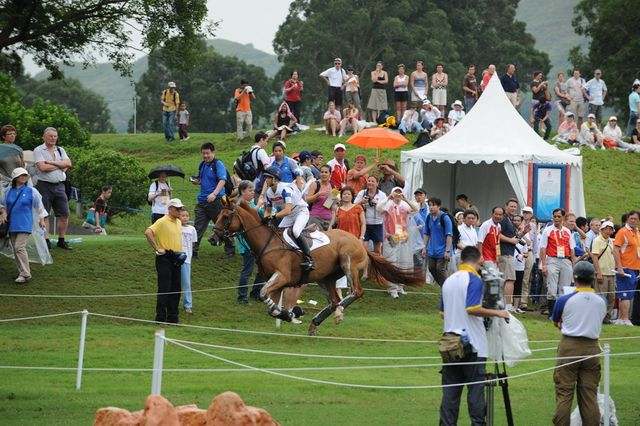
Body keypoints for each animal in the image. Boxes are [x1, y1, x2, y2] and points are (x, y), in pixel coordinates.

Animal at [212, 200, 428, 336]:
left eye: (226, 217)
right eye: (218, 215)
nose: (213, 238)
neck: (268, 243)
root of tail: (360, 242)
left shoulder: (281, 277)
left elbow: (266, 296)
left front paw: (292, 313)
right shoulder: (277, 282)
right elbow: (271, 308)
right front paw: (290, 314)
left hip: (348, 264)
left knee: (355, 292)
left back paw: (339, 313)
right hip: (325, 277)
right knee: (333, 301)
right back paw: (315, 323)